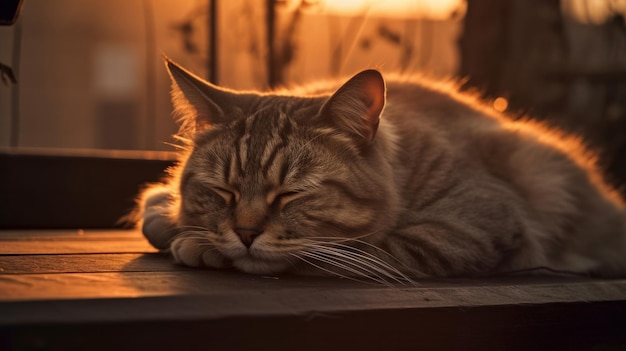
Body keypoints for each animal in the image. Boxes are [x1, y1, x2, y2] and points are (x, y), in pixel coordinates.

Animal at [139, 55, 624, 284]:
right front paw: (173, 219)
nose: (244, 234)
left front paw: (198, 243)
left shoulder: (470, 228)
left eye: (291, 194)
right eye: (224, 192)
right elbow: (160, 210)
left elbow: (341, 253)